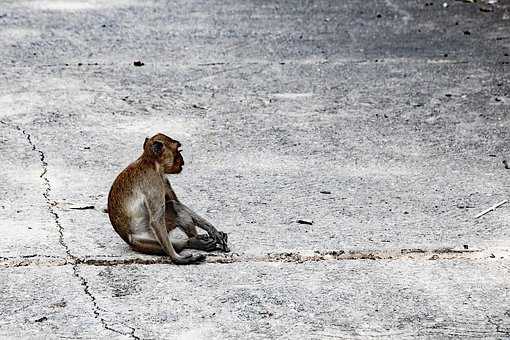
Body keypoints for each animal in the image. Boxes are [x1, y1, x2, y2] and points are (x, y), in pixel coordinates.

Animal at [108, 133, 230, 266]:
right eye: (178, 149)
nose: (182, 159)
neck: (151, 162)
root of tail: (125, 237)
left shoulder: (163, 178)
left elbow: (177, 201)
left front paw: (213, 230)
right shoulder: (153, 181)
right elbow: (156, 220)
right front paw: (177, 258)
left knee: (176, 207)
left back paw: (196, 239)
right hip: (141, 240)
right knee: (174, 242)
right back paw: (190, 243)